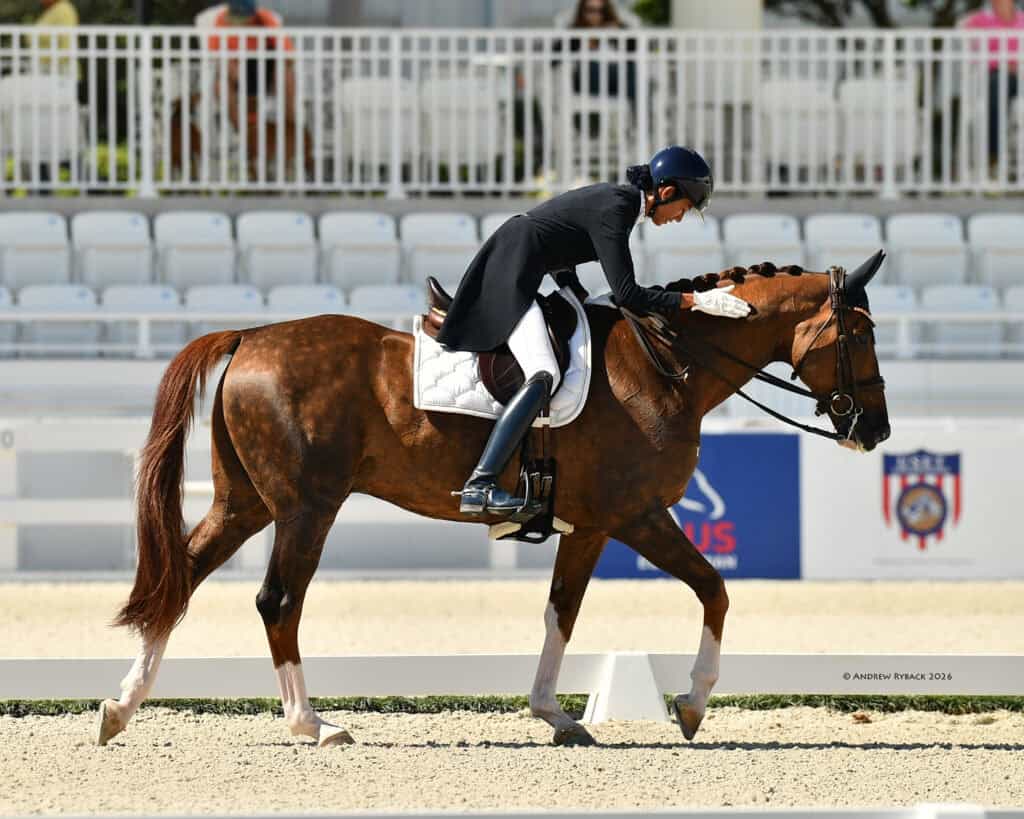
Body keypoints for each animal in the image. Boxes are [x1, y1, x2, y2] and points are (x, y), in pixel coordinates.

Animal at [96, 254, 890, 748]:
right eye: (858, 333)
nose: (874, 430)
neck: (667, 366)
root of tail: (250, 334)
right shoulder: (632, 516)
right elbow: (711, 589)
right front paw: (690, 704)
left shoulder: (594, 525)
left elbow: (566, 612)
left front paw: (555, 714)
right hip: (306, 508)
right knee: (276, 602)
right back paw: (312, 724)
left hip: (245, 504)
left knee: (182, 579)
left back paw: (120, 707)